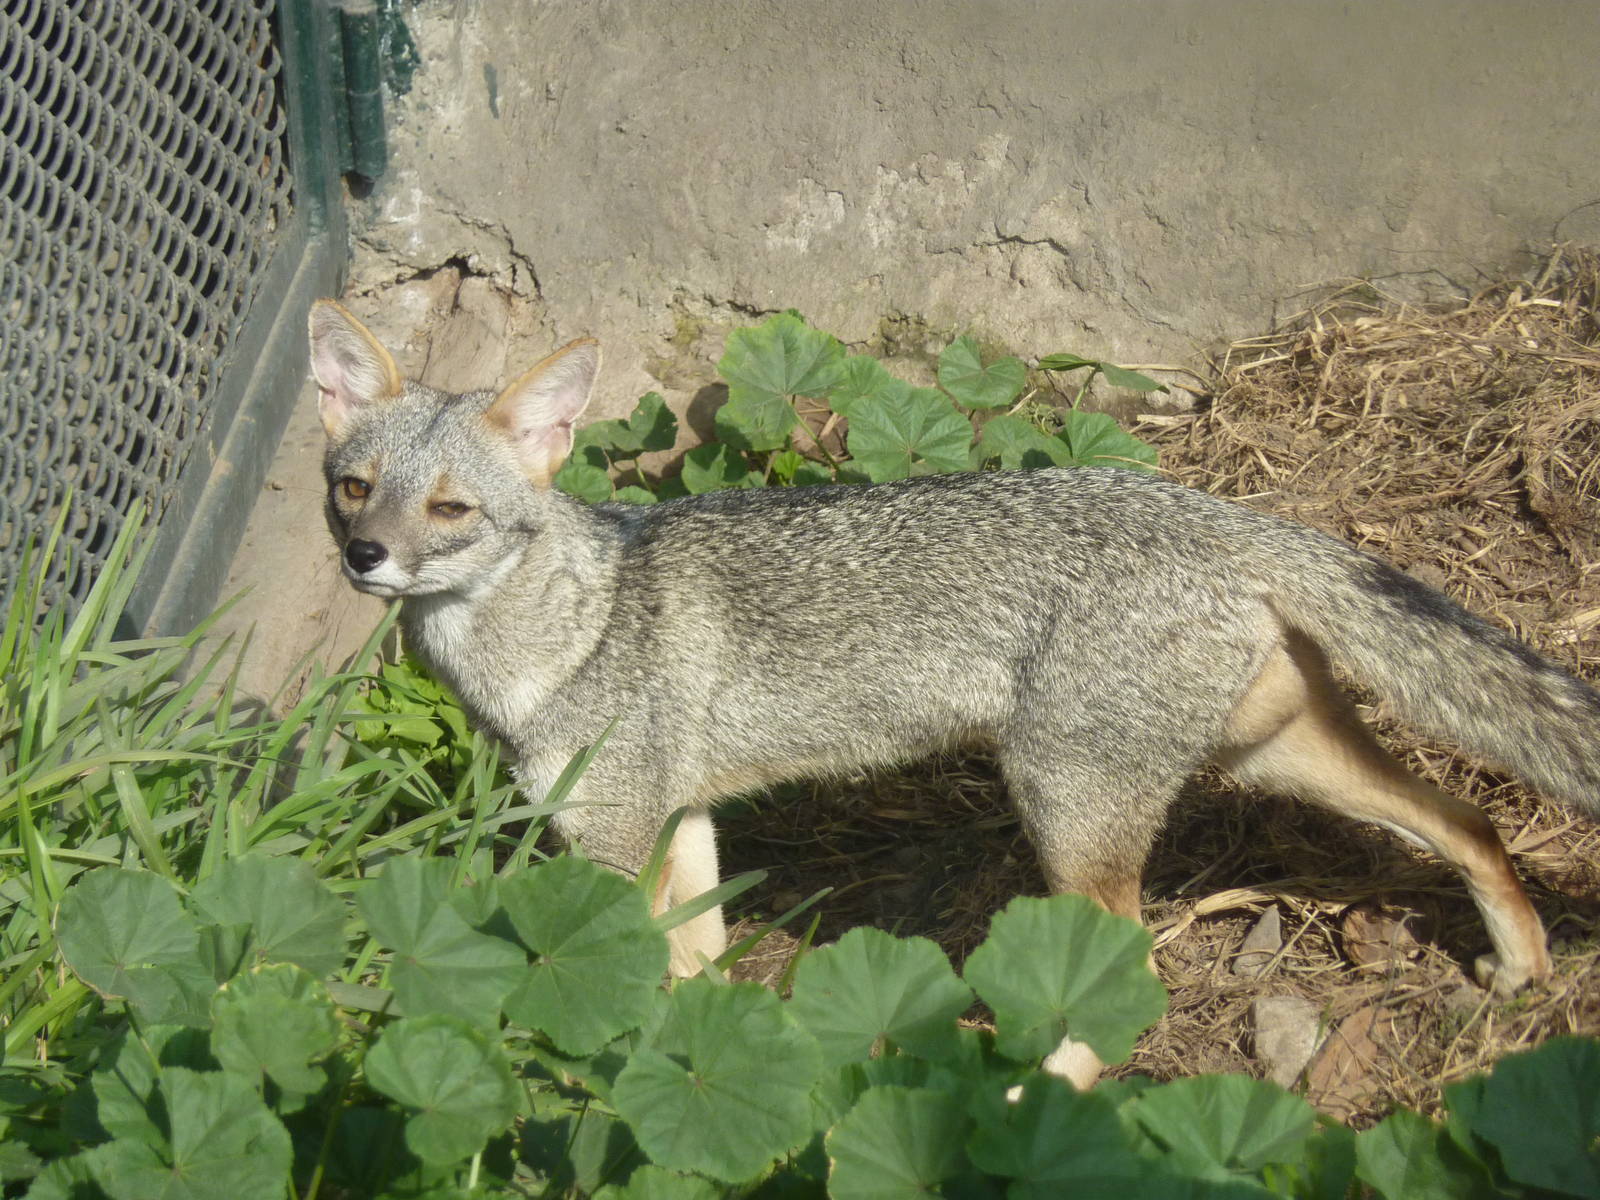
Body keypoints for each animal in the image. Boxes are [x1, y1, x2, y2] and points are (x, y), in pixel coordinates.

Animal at [308, 298, 1599, 1086]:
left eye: (449, 511)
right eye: (354, 488)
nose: (364, 561)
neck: (571, 628)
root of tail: (1215, 506)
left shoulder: (611, 843)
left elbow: (616, 976)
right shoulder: (685, 824)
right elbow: (693, 975)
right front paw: (706, 1062)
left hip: (1064, 805)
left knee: (1133, 971)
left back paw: (1030, 1104)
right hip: (1273, 758)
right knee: (1468, 820)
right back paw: (1521, 971)